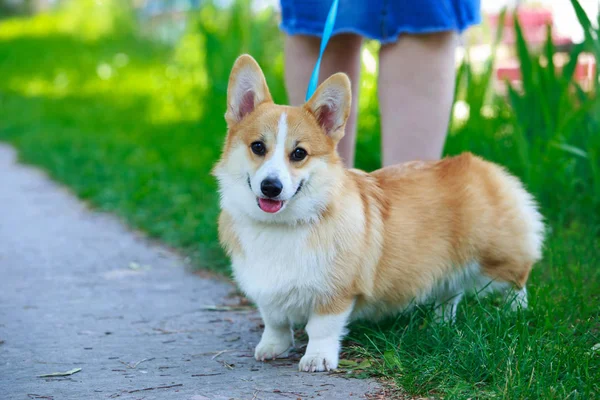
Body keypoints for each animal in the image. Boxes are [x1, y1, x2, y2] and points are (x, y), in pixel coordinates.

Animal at [213, 54, 548, 372]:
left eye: (299, 154)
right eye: (258, 147)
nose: (271, 187)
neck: (280, 226)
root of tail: (483, 166)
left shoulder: (335, 292)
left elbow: (321, 328)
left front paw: (317, 358)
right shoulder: (265, 289)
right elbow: (275, 322)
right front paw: (272, 347)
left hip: (496, 259)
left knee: (517, 280)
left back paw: (515, 314)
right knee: (450, 292)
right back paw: (440, 324)